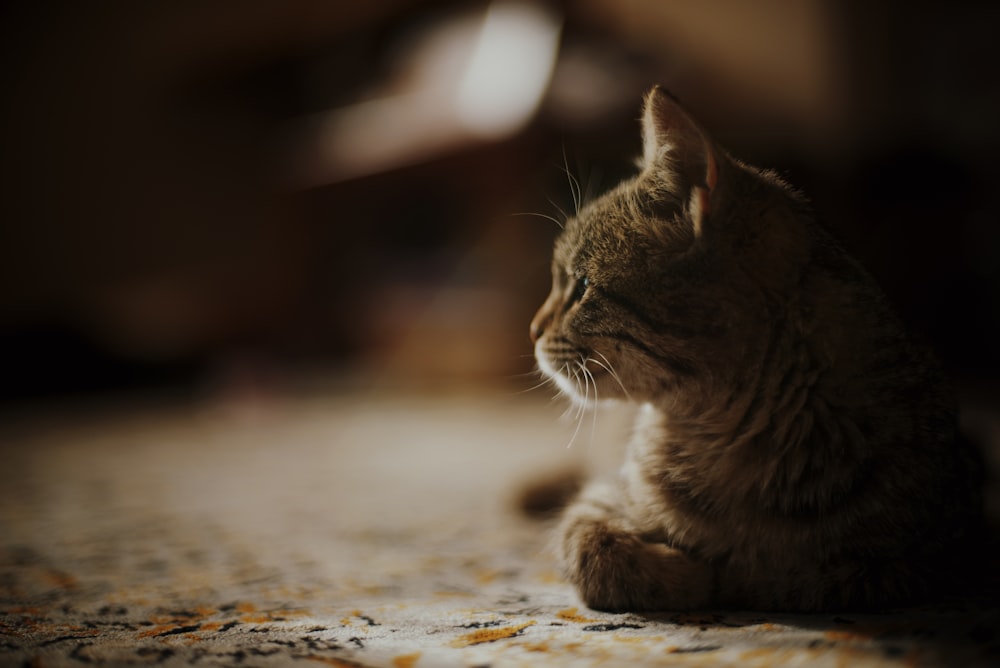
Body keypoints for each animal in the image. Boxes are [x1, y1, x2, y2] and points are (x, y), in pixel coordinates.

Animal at [532, 86, 984, 612]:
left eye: (581, 287)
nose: (532, 330)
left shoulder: (940, 553)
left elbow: (812, 580)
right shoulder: (600, 497)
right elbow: (592, 548)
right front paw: (688, 574)